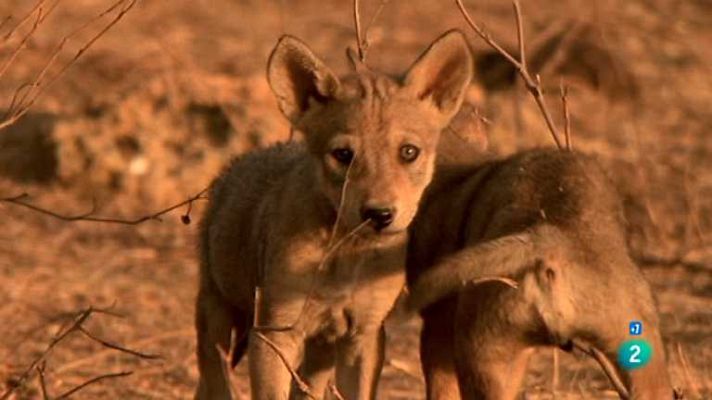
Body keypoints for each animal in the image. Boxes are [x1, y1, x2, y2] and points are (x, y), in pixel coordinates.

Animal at [194, 30, 473, 399]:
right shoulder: (275, 330)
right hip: (216, 316)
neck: (345, 253)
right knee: (213, 380)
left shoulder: (364, 334)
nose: (379, 214)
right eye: (343, 154)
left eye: (409, 152)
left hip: (319, 351)